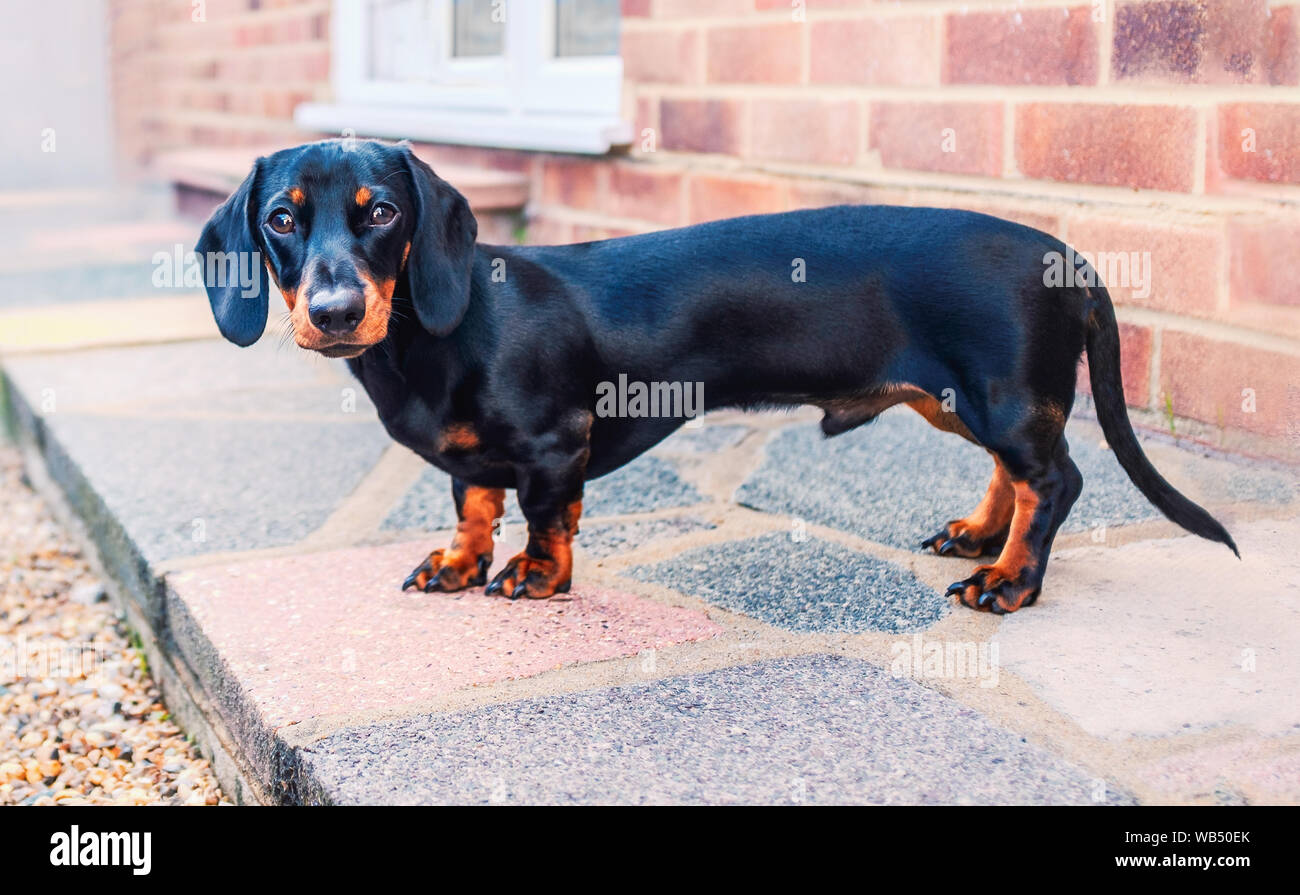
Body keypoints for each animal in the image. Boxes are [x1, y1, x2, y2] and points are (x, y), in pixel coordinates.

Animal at [197, 141, 1232, 614]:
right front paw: (458, 562)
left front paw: (535, 575)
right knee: (1013, 475)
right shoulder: (473, 460)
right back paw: (981, 534)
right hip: (963, 401)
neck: (436, 336)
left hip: (1002, 396)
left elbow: (545, 518)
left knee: (1054, 478)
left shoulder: (553, 445)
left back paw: (1011, 578)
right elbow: (473, 505)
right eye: (283, 218)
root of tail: (1069, 256)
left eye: (380, 213)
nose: (335, 312)